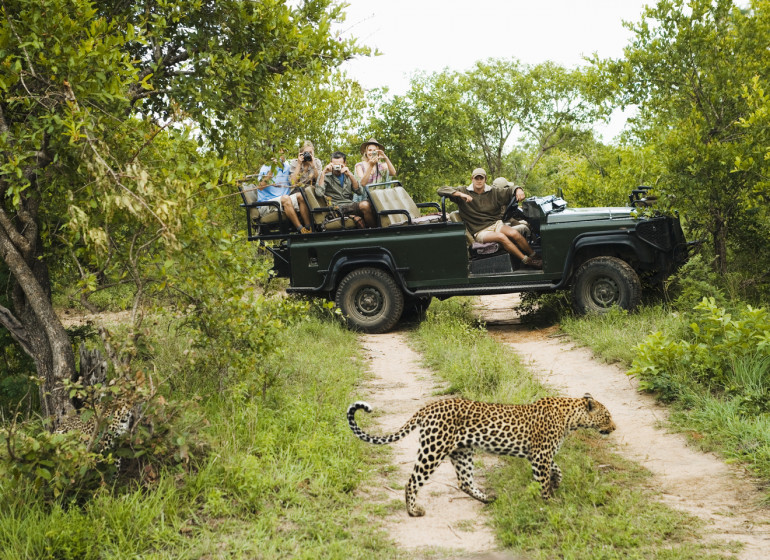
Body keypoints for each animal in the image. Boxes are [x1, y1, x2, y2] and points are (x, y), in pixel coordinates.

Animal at [344, 394, 616, 516]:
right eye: (607, 416)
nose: (614, 428)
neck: (571, 418)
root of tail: (428, 407)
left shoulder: (539, 455)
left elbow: (556, 468)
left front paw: (557, 482)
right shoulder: (540, 456)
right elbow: (543, 481)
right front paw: (549, 503)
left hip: (462, 451)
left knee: (464, 481)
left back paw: (488, 499)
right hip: (434, 449)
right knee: (412, 481)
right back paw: (413, 511)